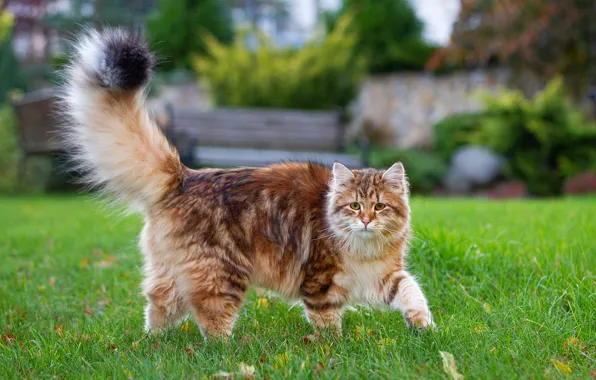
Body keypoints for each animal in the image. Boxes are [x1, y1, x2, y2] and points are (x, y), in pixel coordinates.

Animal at [61, 29, 434, 338]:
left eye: (380, 206)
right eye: (355, 205)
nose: (367, 220)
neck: (367, 251)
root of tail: (186, 175)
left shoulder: (387, 276)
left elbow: (413, 292)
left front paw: (424, 325)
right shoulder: (320, 281)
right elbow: (326, 320)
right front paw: (333, 346)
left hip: (174, 273)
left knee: (158, 303)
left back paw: (155, 342)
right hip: (222, 273)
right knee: (210, 319)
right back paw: (224, 349)